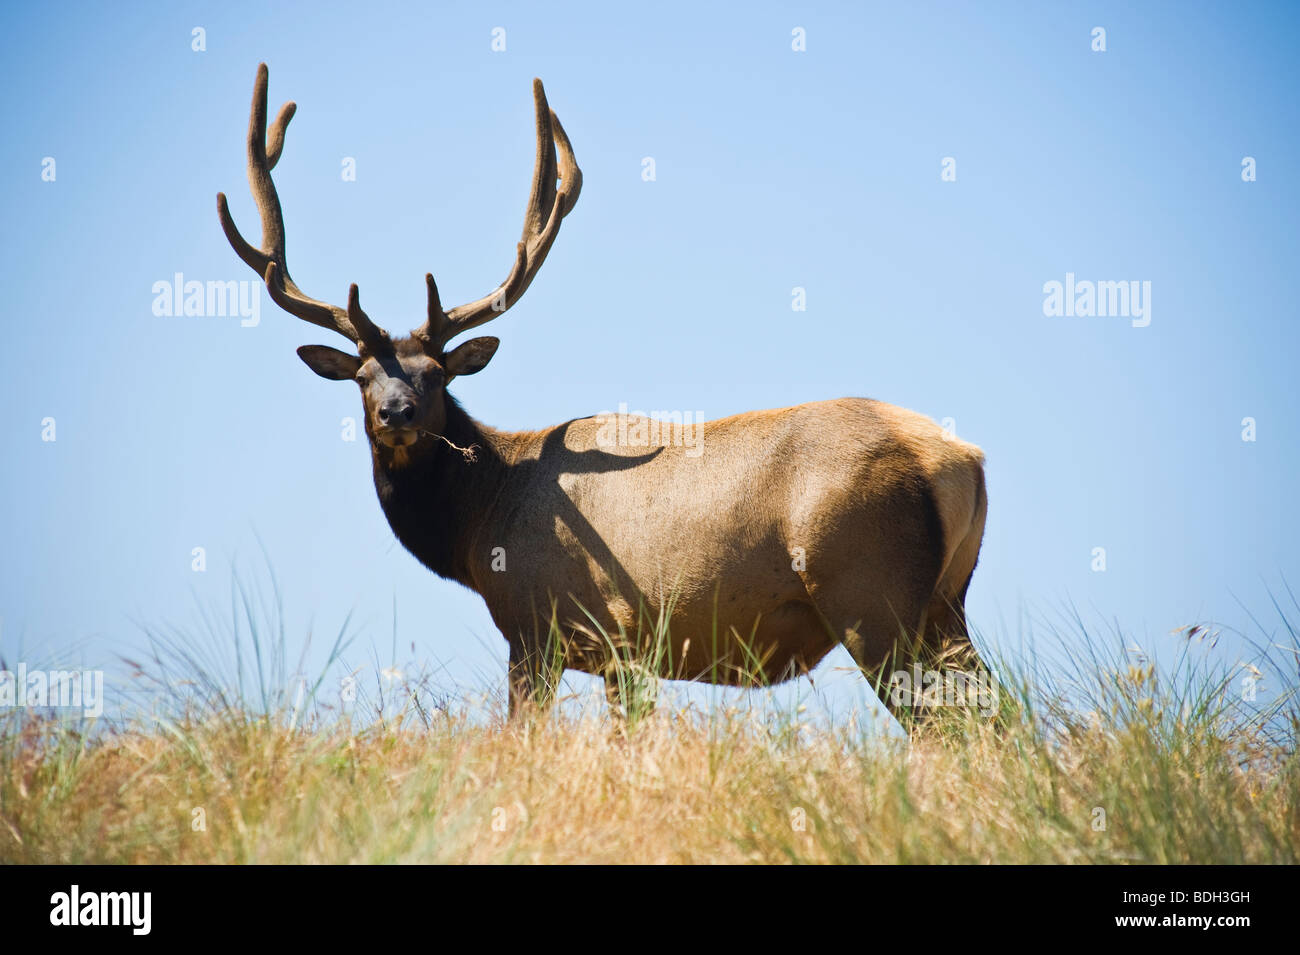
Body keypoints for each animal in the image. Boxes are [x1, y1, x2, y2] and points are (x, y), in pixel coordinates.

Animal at [218, 65, 987, 722]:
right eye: (361, 376)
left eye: (437, 375)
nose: (397, 412)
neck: (482, 526)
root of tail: (964, 463)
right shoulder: (624, 649)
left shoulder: (557, 626)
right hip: (945, 603)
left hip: (870, 595)